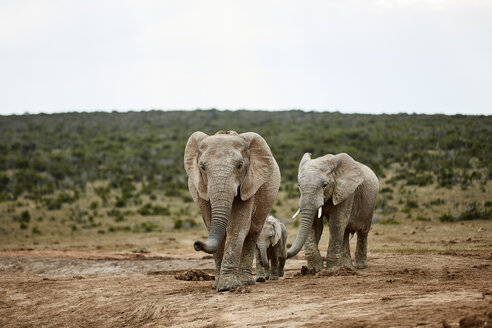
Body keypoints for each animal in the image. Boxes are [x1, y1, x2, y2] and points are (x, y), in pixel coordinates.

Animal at [184, 129, 280, 290]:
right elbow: (211, 225)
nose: (196, 244)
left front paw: (228, 286)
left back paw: (246, 281)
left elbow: (237, 227)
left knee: (252, 233)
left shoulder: (249, 184)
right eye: (202, 167)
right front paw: (218, 286)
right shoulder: (200, 189)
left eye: (239, 166)